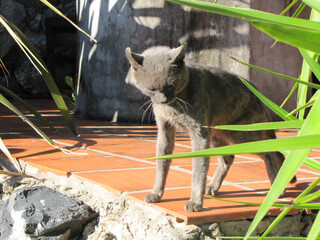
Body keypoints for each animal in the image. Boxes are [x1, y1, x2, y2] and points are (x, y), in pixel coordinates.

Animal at [124, 43, 296, 212]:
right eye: (151, 89)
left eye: (170, 85)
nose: (163, 100)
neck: (173, 106)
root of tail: (260, 97)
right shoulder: (164, 129)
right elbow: (161, 163)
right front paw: (156, 193)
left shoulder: (199, 133)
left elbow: (199, 169)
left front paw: (195, 202)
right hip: (216, 134)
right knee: (228, 158)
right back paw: (212, 187)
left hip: (241, 134)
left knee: (268, 152)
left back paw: (277, 188)